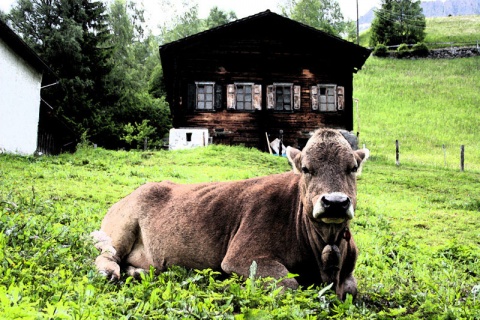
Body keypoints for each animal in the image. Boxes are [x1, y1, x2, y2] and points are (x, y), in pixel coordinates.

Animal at [92, 129, 370, 298]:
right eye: (306, 169)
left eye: (352, 167)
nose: (335, 202)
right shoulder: (241, 256)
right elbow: (289, 283)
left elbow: (351, 289)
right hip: (120, 230)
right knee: (106, 257)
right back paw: (111, 272)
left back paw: (138, 272)